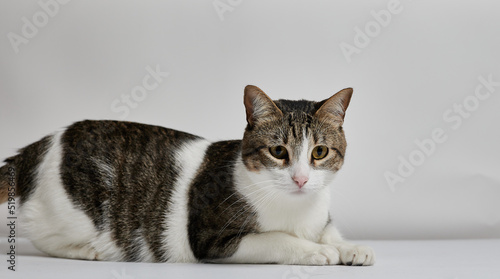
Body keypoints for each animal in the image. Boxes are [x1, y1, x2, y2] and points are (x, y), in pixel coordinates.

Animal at [0, 86, 374, 266]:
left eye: (319, 152)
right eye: (279, 152)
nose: (300, 179)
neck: (296, 208)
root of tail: (42, 145)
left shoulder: (320, 218)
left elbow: (328, 232)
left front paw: (349, 247)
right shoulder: (210, 238)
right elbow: (278, 238)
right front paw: (316, 251)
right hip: (70, 211)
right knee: (42, 235)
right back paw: (87, 250)